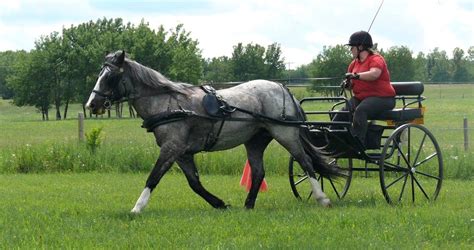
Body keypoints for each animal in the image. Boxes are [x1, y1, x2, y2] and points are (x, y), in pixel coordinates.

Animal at [86, 50, 344, 213]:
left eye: (110, 76)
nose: (91, 104)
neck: (167, 103)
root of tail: (283, 88)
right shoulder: (182, 153)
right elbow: (195, 183)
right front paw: (220, 204)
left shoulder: (171, 148)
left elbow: (153, 177)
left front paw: (136, 208)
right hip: (255, 141)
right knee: (259, 172)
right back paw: (248, 205)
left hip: (285, 134)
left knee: (306, 163)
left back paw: (323, 199)